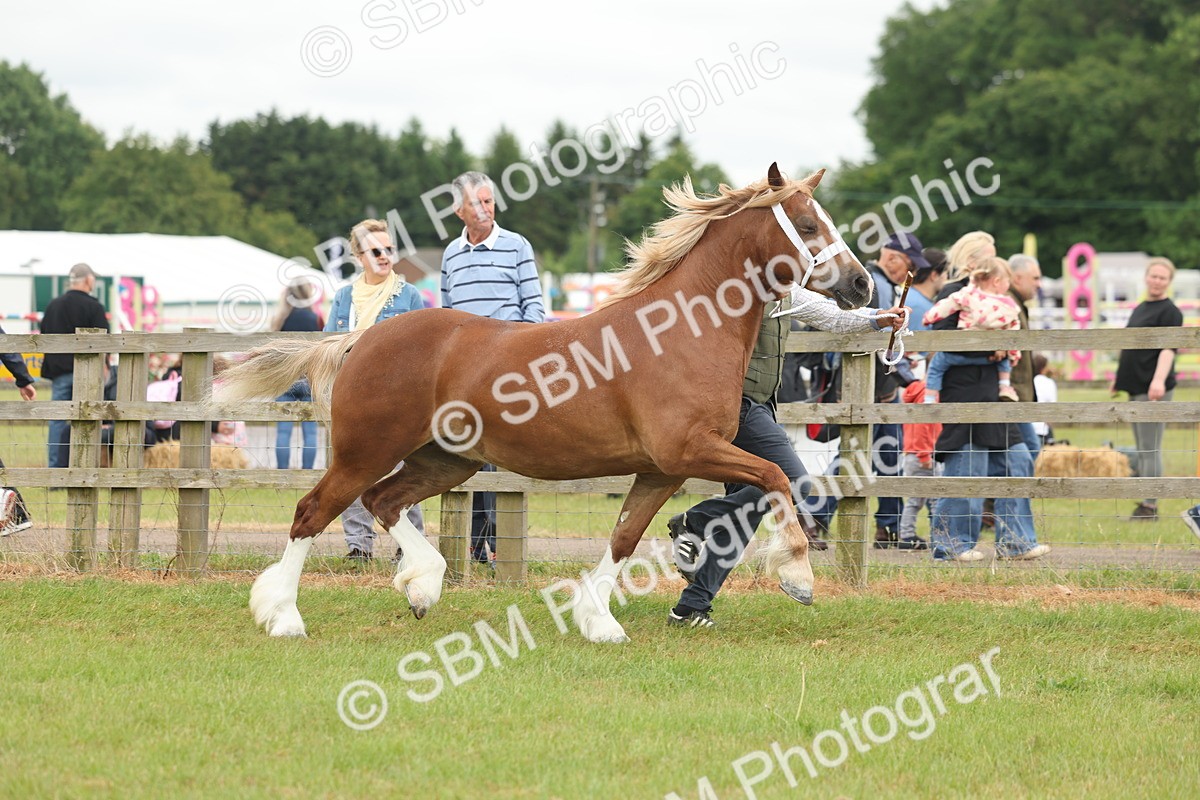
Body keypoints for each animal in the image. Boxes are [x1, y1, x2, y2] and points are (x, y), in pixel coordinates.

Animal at [217, 163, 872, 642]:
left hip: (446, 460)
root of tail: (362, 338)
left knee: (385, 502)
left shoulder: (661, 470)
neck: (683, 331)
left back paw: (423, 586)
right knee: (313, 511)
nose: (863, 284)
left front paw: (599, 622)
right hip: (365, 451)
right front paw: (798, 576)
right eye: (807, 225)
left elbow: (625, 538)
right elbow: (775, 478)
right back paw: (284, 617)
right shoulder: (690, 450)